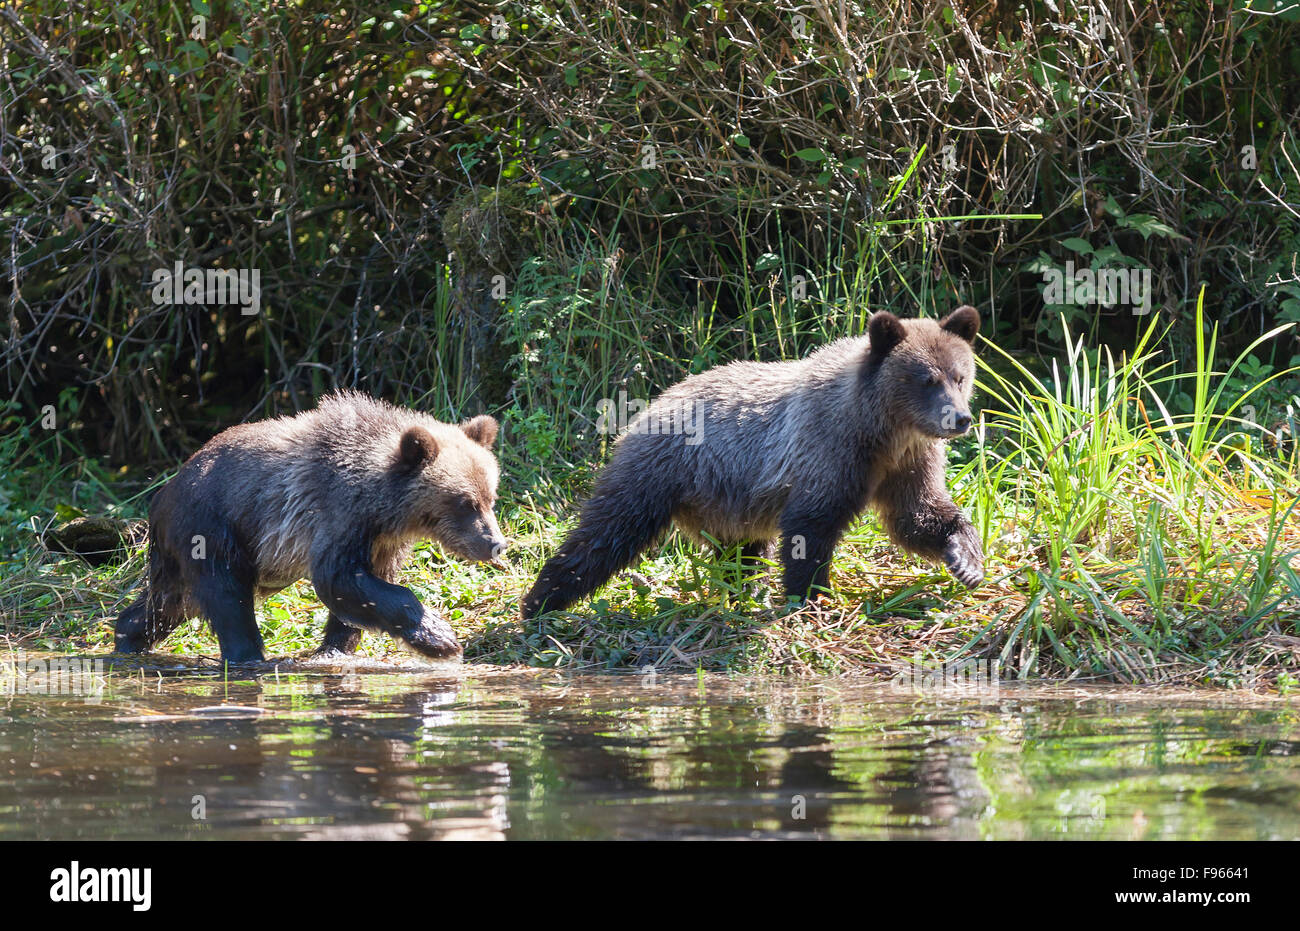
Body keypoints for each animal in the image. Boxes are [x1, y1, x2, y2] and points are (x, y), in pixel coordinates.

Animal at [115, 390, 506, 663]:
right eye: (464, 502)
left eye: (490, 497)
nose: (495, 543)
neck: (382, 504)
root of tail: (163, 493)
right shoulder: (336, 513)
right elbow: (340, 579)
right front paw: (441, 638)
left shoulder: (381, 540)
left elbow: (363, 589)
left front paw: (336, 647)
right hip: (213, 527)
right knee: (226, 595)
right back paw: (248, 656)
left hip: (186, 550)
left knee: (171, 602)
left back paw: (127, 636)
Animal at [517, 306, 982, 626]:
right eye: (926, 379)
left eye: (960, 375)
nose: (959, 418)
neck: (883, 430)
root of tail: (652, 404)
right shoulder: (830, 450)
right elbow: (811, 527)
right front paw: (811, 597)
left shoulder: (906, 463)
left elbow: (918, 514)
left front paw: (967, 560)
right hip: (662, 472)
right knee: (606, 532)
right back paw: (540, 600)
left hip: (727, 501)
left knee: (738, 553)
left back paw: (742, 593)